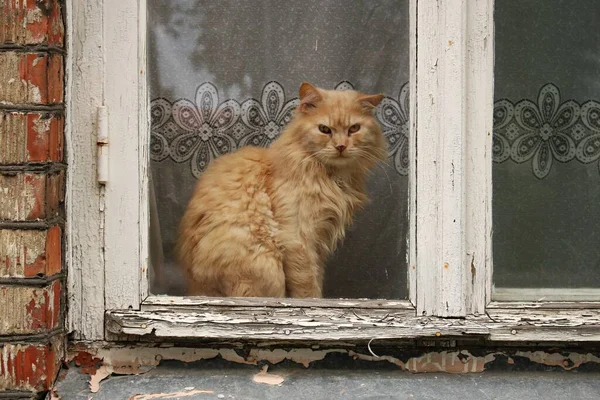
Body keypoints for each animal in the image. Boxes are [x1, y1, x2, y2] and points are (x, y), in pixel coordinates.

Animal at [176, 83, 386, 296]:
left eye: (354, 129)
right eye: (324, 129)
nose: (341, 146)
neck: (332, 178)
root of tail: (196, 288)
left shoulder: (319, 242)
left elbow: (316, 278)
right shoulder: (298, 237)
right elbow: (306, 287)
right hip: (266, 269)